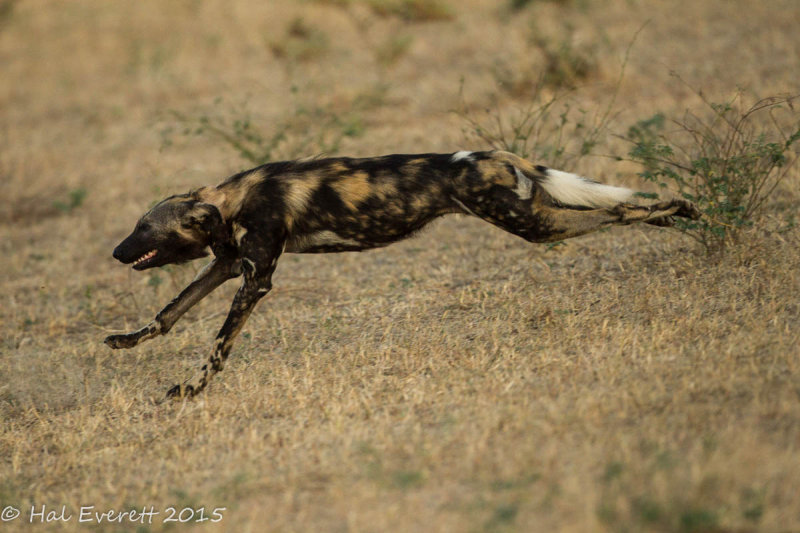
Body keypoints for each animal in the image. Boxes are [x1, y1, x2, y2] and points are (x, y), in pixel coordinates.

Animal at [106, 149, 700, 394]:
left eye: (144, 228)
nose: (115, 251)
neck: (232, 200)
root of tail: (491, 154)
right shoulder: (231, 265)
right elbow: (170, 313)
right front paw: (128, 341)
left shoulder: (255, 280)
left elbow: (217, 346)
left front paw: (192, 391)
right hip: (536, 215)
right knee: (613, 208)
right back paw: (676, 216)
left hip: (532, 225)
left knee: (616, 212)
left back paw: (679, 210)